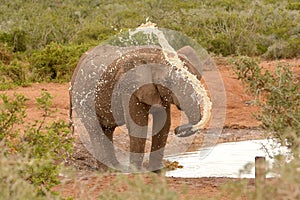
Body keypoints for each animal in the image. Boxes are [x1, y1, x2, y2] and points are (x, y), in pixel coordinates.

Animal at [69, 44, 203, 173]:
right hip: (82, 98)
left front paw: (157, 171)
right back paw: (106, 170)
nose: (177, 130)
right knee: (95, 129)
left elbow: (163, 124)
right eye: (167, 81)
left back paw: (116, 168)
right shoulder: (129, 88)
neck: (154, 55)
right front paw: (136, 172)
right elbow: (139, 125)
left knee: (107, 130)